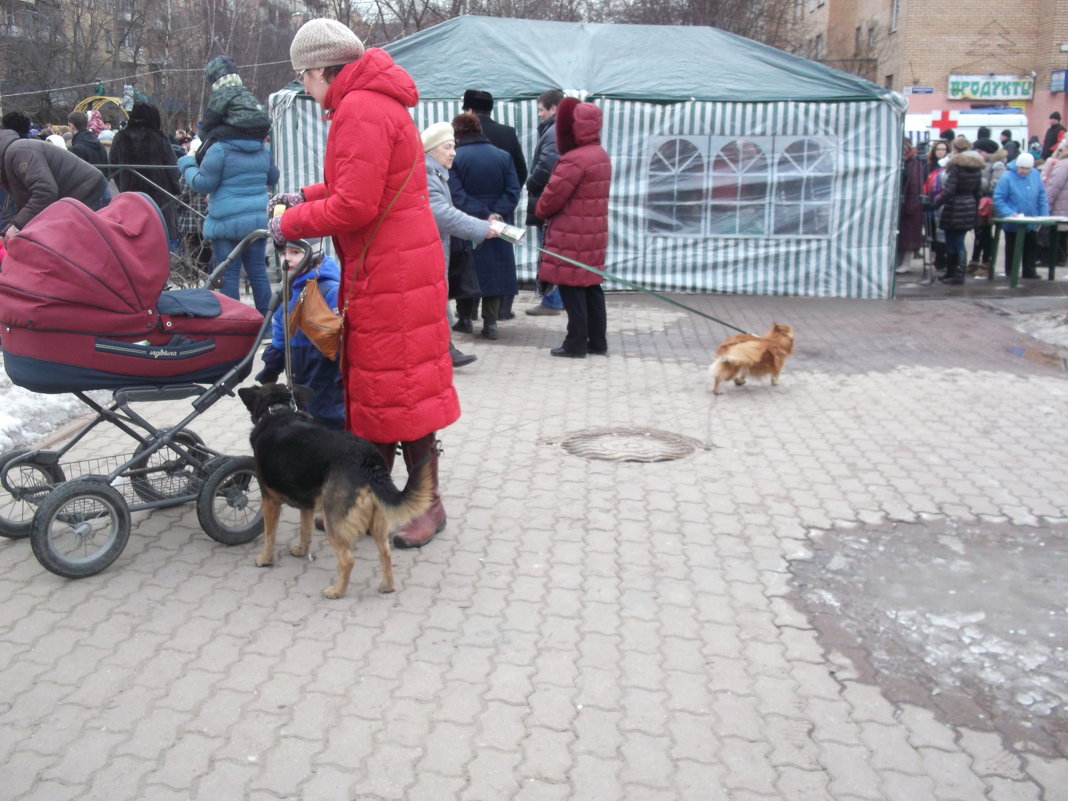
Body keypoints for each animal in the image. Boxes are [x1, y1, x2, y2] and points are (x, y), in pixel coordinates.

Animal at [238, 386, 429, 598]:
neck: (279, 411)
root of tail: (368, 459)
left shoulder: (269, 501)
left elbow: (269, 535)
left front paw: (264, 559)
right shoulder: (306, 504)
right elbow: (305, 530)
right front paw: (302, 550)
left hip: (334, 522)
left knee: (348, 561)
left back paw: (337, 591)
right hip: (377, 519)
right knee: (385, 552)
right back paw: (387, 586)